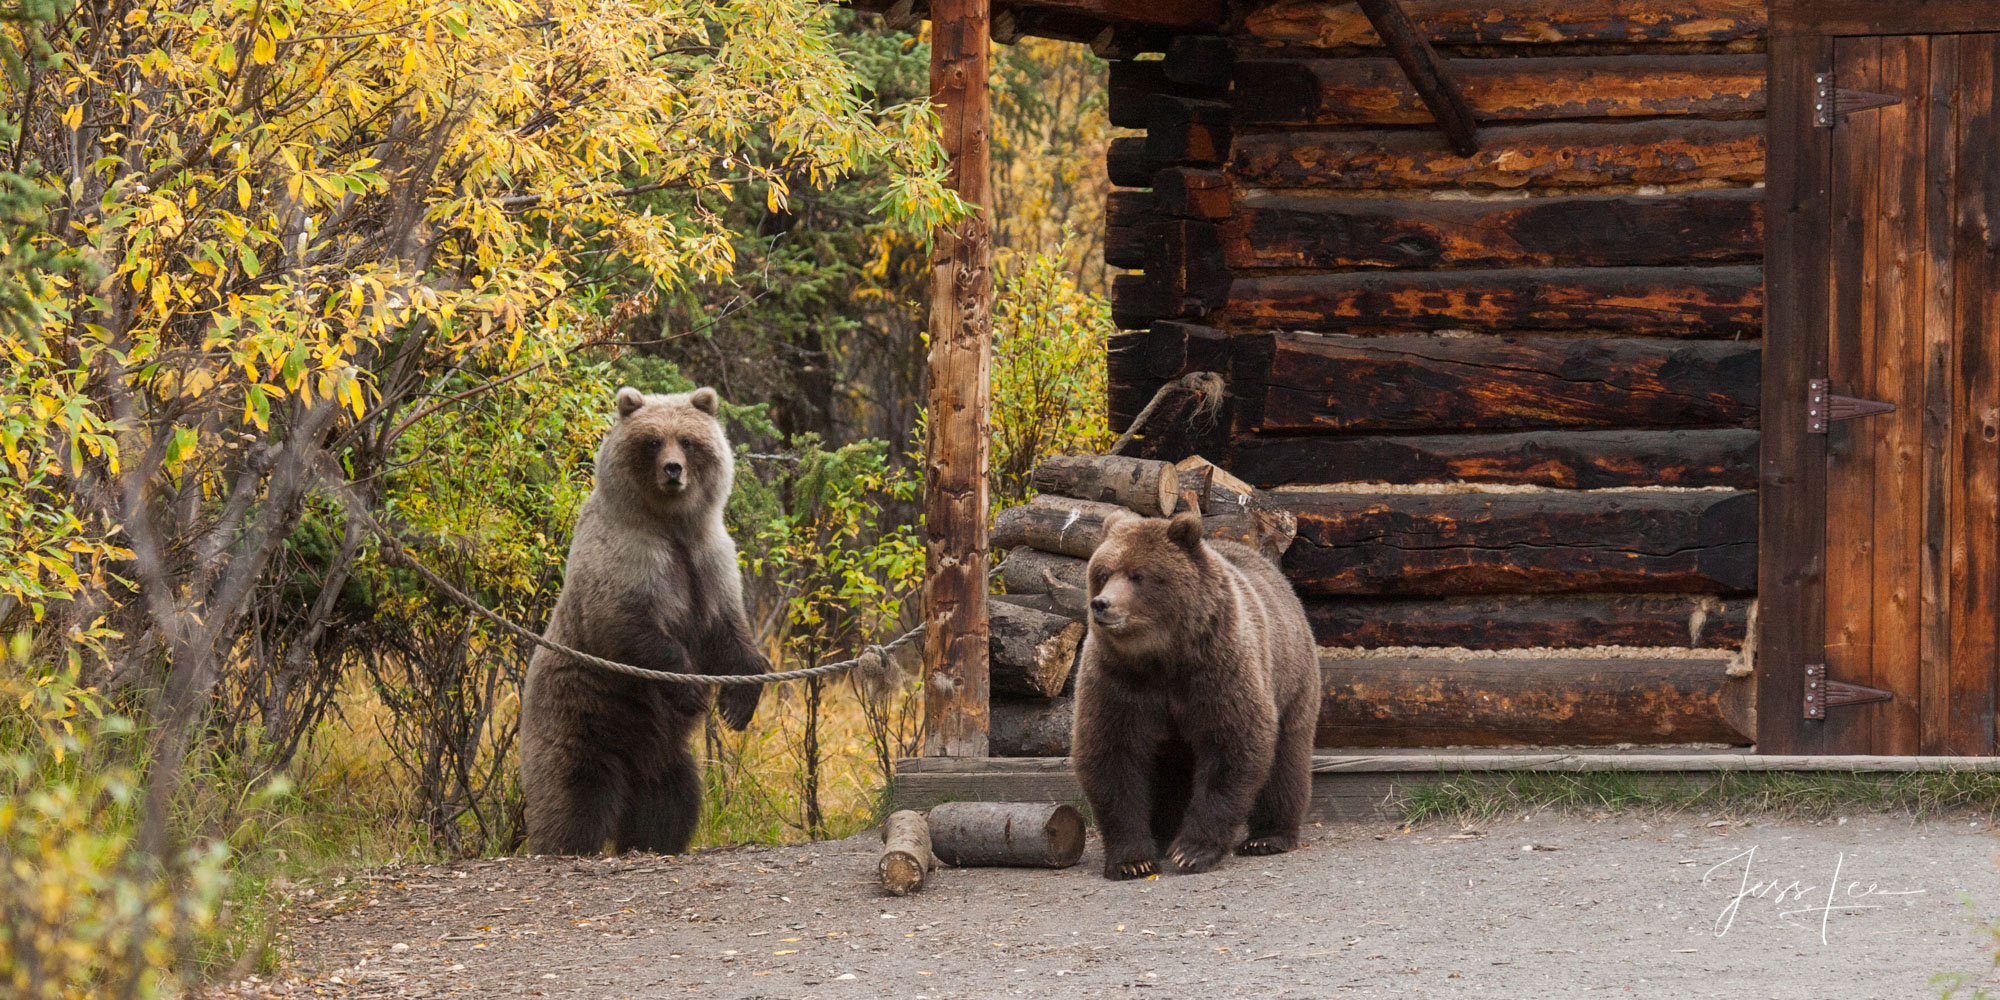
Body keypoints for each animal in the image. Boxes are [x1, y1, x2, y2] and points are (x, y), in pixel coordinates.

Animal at [516, 386, 764, 856]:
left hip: (666, 756)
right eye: (652, 440)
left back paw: (650, 841)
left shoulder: (711, 560)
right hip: (581, 719)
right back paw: (566, 842)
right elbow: (628, 626)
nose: (672, 469)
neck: (671, 525)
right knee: (572, 794)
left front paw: (738, 704)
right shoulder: (629, 559)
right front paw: (693, 690)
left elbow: (729, 631)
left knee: (673, 803)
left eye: (687, 440)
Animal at [1072, 512, 1320, 880]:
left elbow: (1232, 745)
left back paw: (1268, 837)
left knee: (1286, 758)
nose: (1102, 604)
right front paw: (1133, 860)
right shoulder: (1119, 683)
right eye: (1103, 573)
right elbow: (1112, 754)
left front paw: (1192, 852)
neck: (1163, 658)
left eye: (1138, 575)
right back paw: (1163, 835)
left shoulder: (1218, 672)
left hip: (1290, 677)